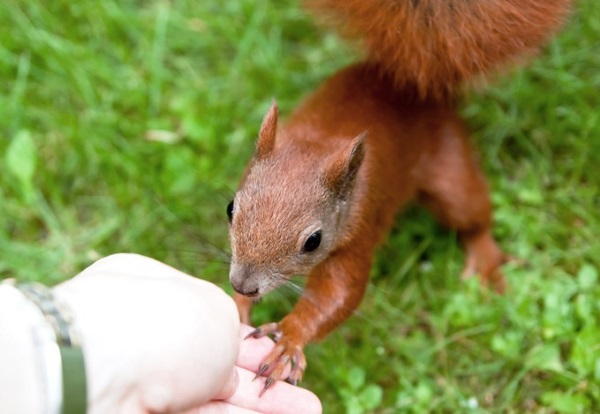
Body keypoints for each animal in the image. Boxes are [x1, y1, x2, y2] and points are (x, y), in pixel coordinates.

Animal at [225, 0, 572, 392]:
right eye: (231, 208)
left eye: (313, 241)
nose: (243, 285)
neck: (318, 144)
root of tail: (412, 84)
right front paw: (236, 306)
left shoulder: (359, 230)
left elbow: (340, 294)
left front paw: (289, 339)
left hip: (451, 175)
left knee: (471, 215)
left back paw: (484, 260)